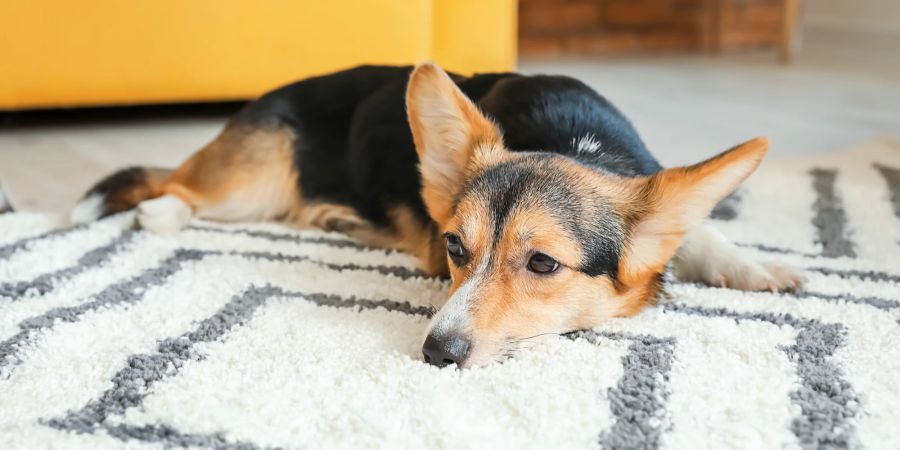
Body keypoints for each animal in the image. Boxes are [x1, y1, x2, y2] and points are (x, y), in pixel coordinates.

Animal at [68, 61, 800, 368]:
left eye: (542, 263)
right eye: (454, 247)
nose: (435, 353)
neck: (572, 141)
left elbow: (701, 226)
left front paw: (755, 268)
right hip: (247, 186)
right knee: (175, 186)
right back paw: (160, 214)